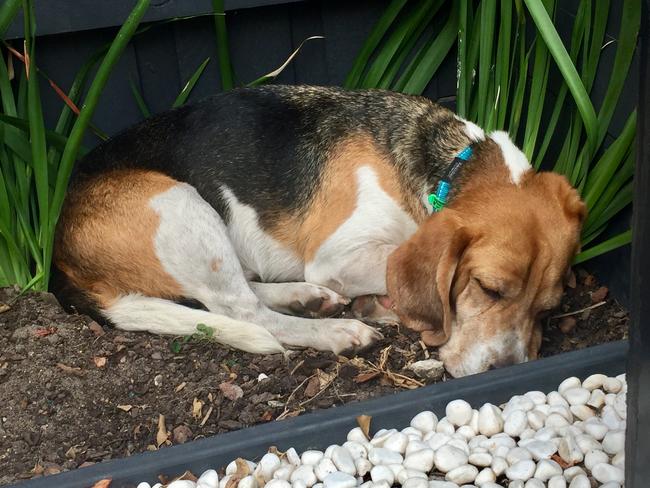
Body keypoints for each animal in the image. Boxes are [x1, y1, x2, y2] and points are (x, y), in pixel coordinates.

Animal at [54, 86, 584, 378]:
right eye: (488, 289)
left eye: (548, 309)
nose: (505, 372)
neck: (446, 164)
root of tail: (59, 254)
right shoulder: (339, 258)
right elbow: (400, 264)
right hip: (180, 205)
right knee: (242, 311)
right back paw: (335, 330)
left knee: (243, 295)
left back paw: (307, 299)